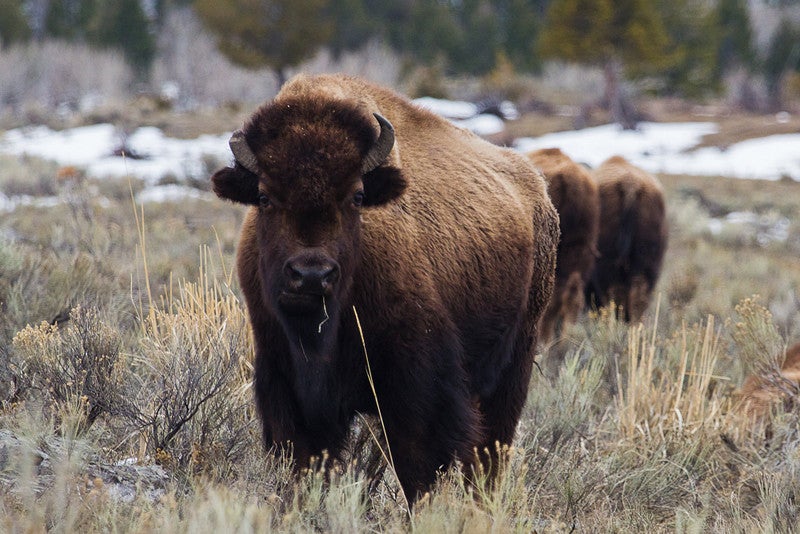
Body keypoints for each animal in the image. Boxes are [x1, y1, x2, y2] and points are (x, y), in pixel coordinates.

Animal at [211, 74, 559, 501]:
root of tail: (538, 190)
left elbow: (417, 466)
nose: (311, 274)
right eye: (263, 196)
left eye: (357, 196)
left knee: (489, 452)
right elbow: (306, 462)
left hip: (514, 363)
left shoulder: (416, 387)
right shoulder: (284, 382)